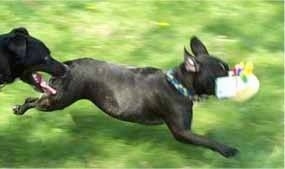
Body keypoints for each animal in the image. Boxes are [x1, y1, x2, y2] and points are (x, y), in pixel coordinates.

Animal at [13, 36, 237, 157]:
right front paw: (227, 150)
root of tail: (67, 65)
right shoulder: (182, 132)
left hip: (55, 98)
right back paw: (20, 109)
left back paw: (18, 109)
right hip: (56, 101)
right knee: (34, 101)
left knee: (34, 98)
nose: (235, 74)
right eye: (221, 74)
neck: (179, 84)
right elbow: (207, 140)